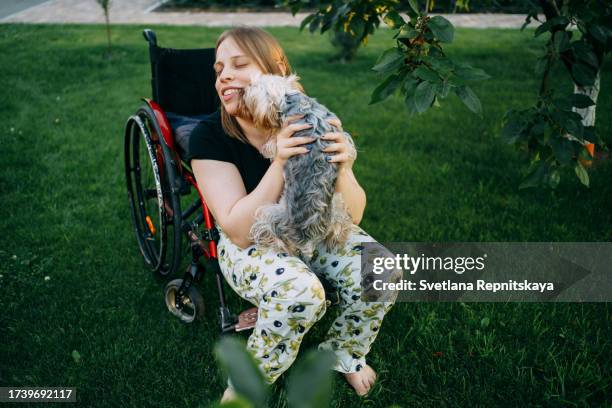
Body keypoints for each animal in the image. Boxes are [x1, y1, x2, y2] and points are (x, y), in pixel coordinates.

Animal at [241, 74, 356, 258]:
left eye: (252, 86)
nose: (243, 90)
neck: (289, 97)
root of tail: (307, 242)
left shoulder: (282, 135)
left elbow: (272, 145)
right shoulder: (338, 131)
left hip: (270, 212)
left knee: (270, 233)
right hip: (337, 206)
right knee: (341, 225)